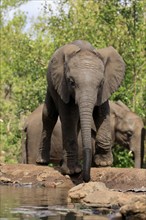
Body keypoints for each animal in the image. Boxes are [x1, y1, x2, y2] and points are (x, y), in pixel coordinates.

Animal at [35, 40, 124, 182]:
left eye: (101, 83)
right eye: (71, 82)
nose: (86, 179)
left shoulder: (105, 89)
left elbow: (102, 113)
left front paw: (103, 163)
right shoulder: (62, 84)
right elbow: (69, 115)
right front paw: (72, 171)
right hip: (51, 85)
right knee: (49, 115)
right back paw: (42, 161)